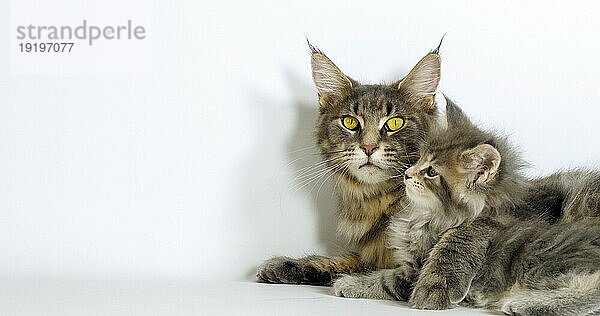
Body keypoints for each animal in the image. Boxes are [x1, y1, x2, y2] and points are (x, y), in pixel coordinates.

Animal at [255, 40, 442, 286]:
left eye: (395, 123)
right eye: (350, 122)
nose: (369, 148)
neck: (377, 200)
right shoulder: (371, 255)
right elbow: (343, 261)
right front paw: (290, 266)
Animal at [332, 97, 600, 314]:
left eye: (431, 172)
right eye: (419, 159)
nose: (407, 174)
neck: (426, 215)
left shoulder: (416, 269)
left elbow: (387, 280)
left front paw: (348, 282)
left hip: (539, 258)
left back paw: (526, 304)